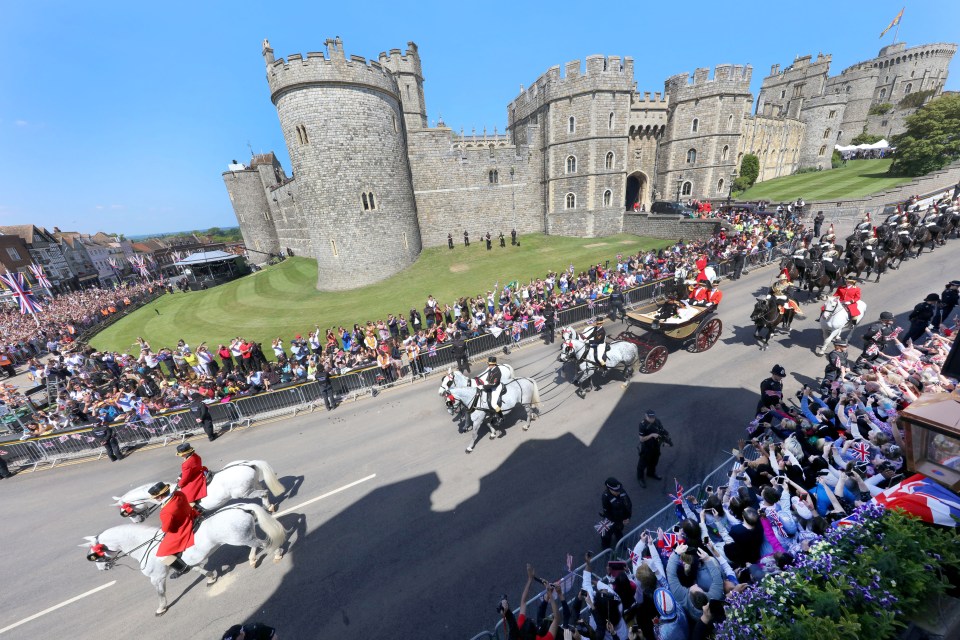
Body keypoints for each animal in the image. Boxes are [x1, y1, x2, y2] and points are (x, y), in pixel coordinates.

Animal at [83, 504, 284, 616]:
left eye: (94, 555)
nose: (102, 569)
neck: (144, 545)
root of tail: (241, 507)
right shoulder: (189, 562)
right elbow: (197, 569)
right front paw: (211, 577)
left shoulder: (157, 577)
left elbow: (160, 593)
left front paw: (161, 609)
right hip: (245, 536)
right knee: (257, 544)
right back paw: (253, 559)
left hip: (240, 538)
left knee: (264, 543)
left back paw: (277, 554)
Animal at [113, 460, 284, 520]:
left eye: (127, 511)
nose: (138, 520)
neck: (167, 494)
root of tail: (248, 463)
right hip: (252, 486)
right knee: (263, 490)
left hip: (244, 493)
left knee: (263, 493)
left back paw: (268, 507)